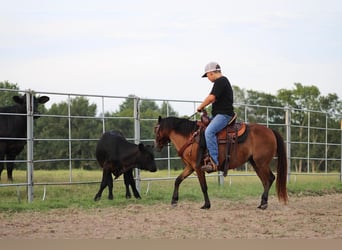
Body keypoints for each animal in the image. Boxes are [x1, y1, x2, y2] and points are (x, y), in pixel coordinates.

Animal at [155, 114, 288, 209]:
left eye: (156, 129)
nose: (156, 146)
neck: (191, 137)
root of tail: (271, 131)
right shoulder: (190, 167)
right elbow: (178, 180)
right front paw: (174, 201)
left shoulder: (198, 168)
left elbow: (203, 186)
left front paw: (206, 205)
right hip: (256, 163)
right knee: (265, 181)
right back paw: (262, 203)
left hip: (261, 163)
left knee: (270, 178)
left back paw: (264, 204)